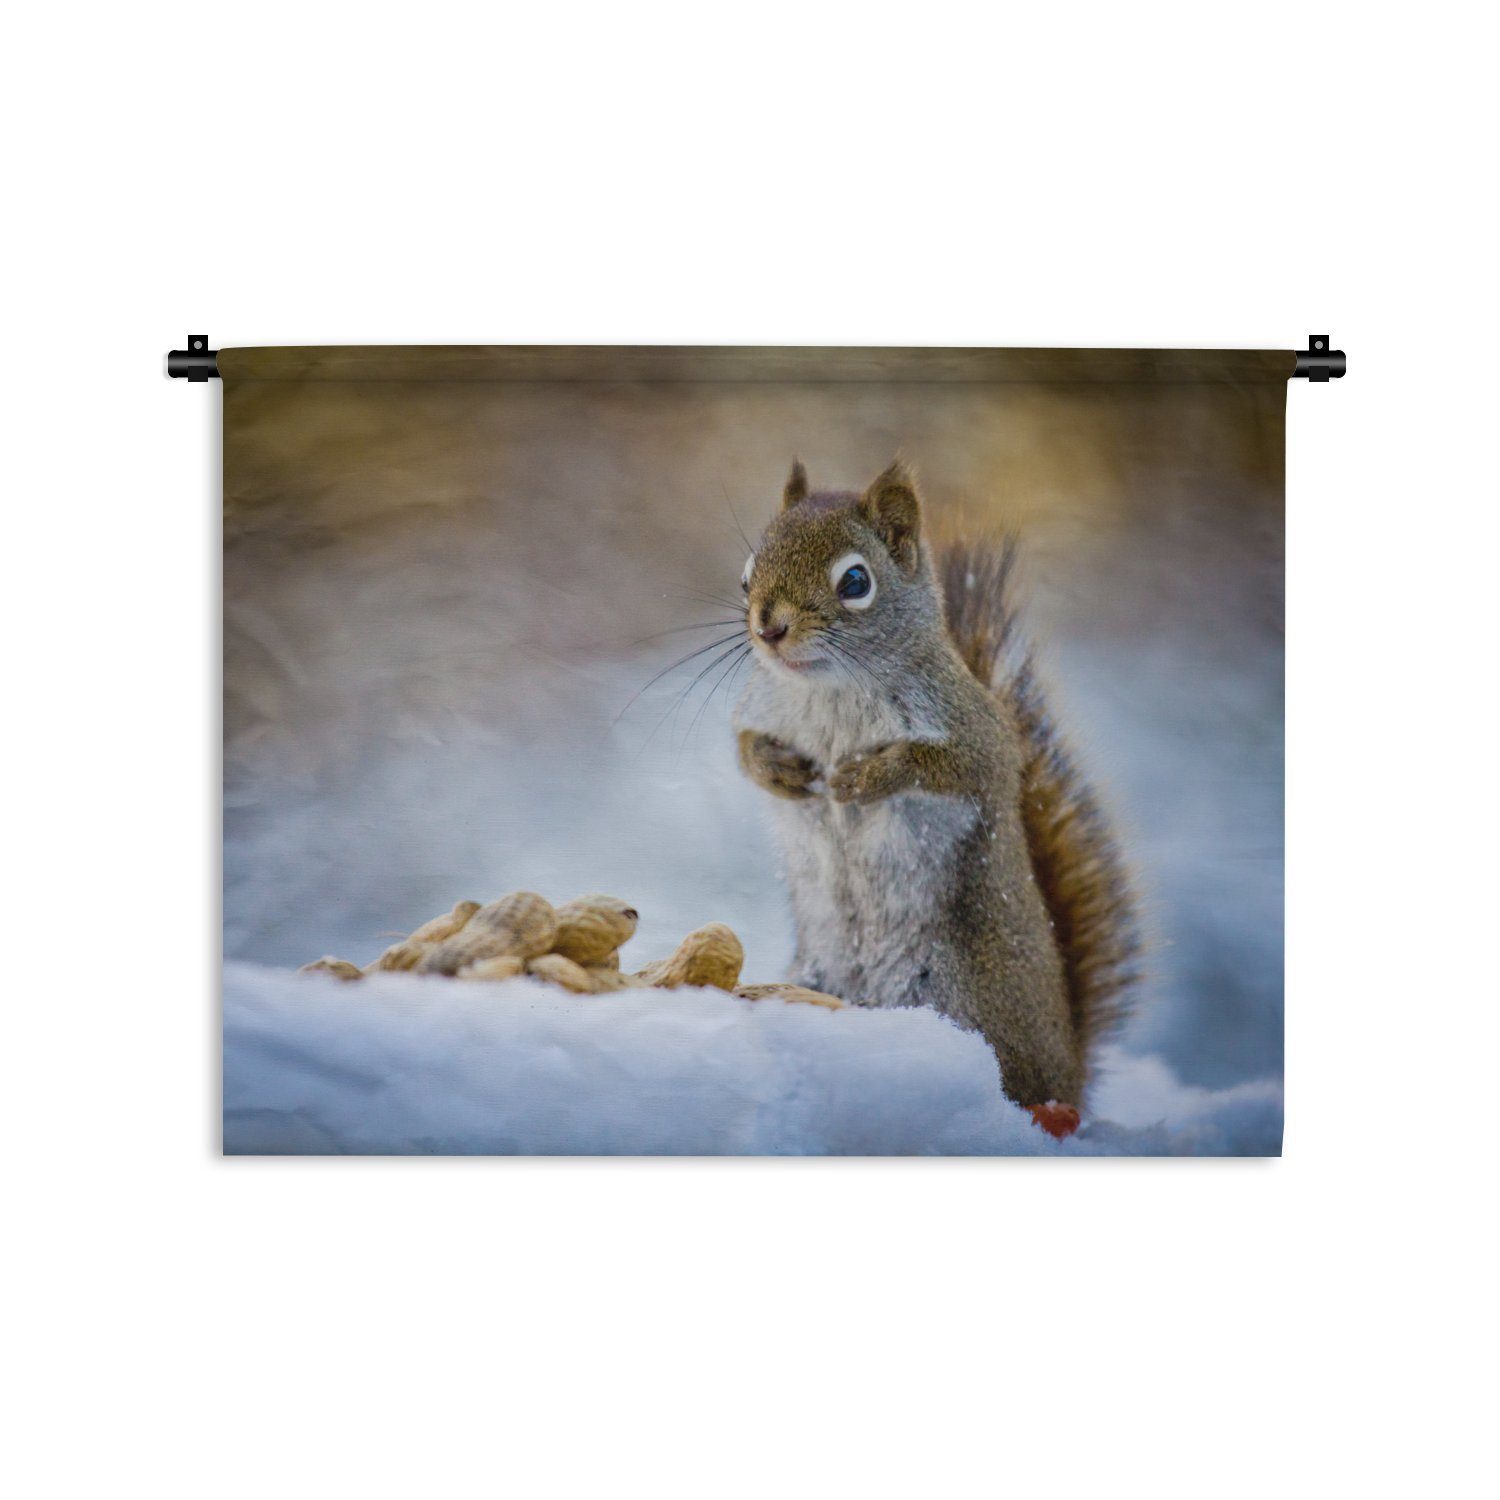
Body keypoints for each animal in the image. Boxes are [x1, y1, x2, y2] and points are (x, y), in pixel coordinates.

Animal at [732, 459, 1139, 1135]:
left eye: (855, 581)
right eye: (746, 575)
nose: (769, 627)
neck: (832, 690)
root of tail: (1070, 1068)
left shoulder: (977, 734)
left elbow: (953, 766)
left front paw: (863, 778)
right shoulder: (762, 710)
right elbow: (744, 749)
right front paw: (780, 771)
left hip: (960, 998)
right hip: (823, 970)